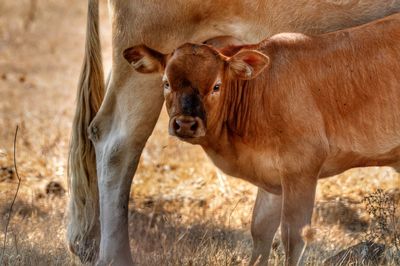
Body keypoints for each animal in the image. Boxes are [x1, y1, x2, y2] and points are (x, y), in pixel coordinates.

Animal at [69, 1, 400, 264]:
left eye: (217, 85)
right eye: (167, 82)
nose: (186, 123)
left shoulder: (287, 172)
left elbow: (267, 231)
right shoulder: (298, 171)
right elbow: (289, 236)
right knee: (116, 142)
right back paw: (114, 257)